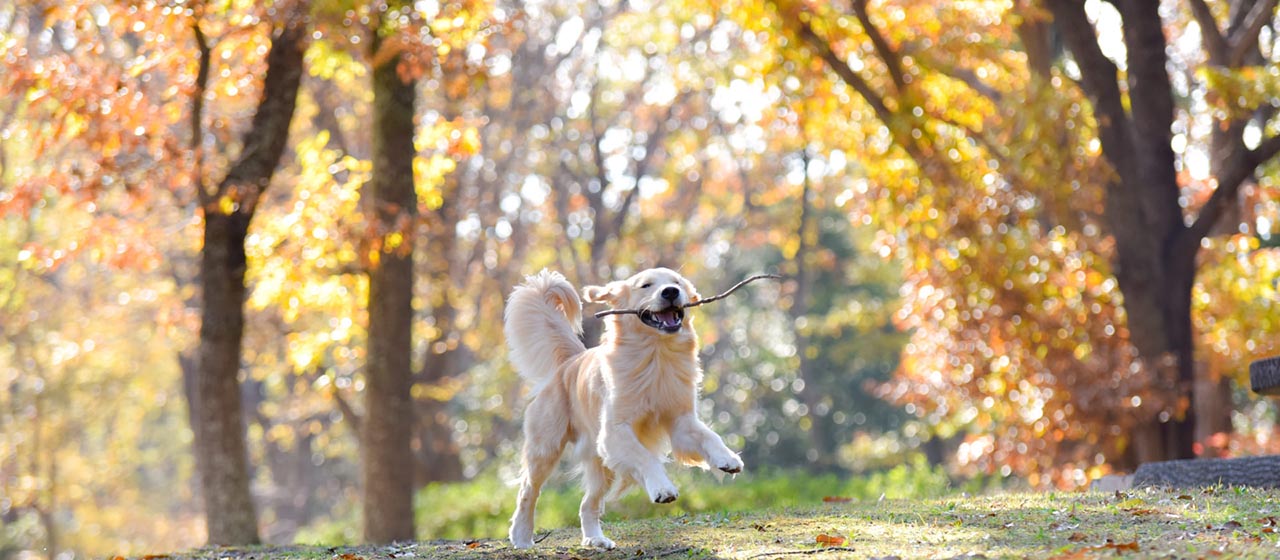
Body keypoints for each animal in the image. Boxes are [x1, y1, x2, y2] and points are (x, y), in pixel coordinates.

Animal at [499, 268, 742, 549]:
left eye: (677, 282)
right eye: (646, 285)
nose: (671, 292)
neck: (656, 353)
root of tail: (569, 362)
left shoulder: (681, 421)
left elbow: (709, 436)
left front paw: (727, 458)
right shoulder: (615, 432)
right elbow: (645, 457)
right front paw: (662, 488)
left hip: (602, 466)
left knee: (587, 504)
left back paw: (595, 539)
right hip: (546, 448)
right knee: (528, 492)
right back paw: (521, 536)